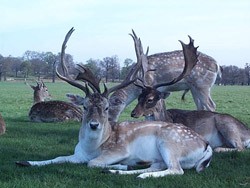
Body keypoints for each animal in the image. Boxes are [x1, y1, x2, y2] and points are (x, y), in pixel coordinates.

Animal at [15, 27, 212, 178]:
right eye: (85, 106)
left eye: (107, 107)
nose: (94, 125)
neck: (91, 149)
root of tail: (206, 146)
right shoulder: (77, 154)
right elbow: (57, 158)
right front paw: (25, 161)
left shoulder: (119, 150)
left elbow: (93, 163)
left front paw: (122, 163)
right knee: (159, 165)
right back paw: (125, 169)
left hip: (169, 142)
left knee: (175, 169)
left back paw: (137, 171)